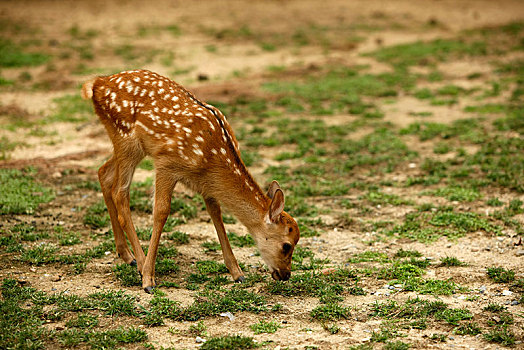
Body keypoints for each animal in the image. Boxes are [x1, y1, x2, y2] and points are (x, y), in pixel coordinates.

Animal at [83, 69, 300, 292]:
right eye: (287, 245)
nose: (285, 275)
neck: (212, 158)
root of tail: (96, 84)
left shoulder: (206, 183)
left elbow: (216, 213)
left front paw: (237, 273)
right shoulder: (166, 163)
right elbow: (161, 212)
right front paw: (149, 280)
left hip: (129, 146)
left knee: (104, 173)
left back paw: (127, 255)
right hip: (125, 138)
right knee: (120, 193)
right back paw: (141, 264)